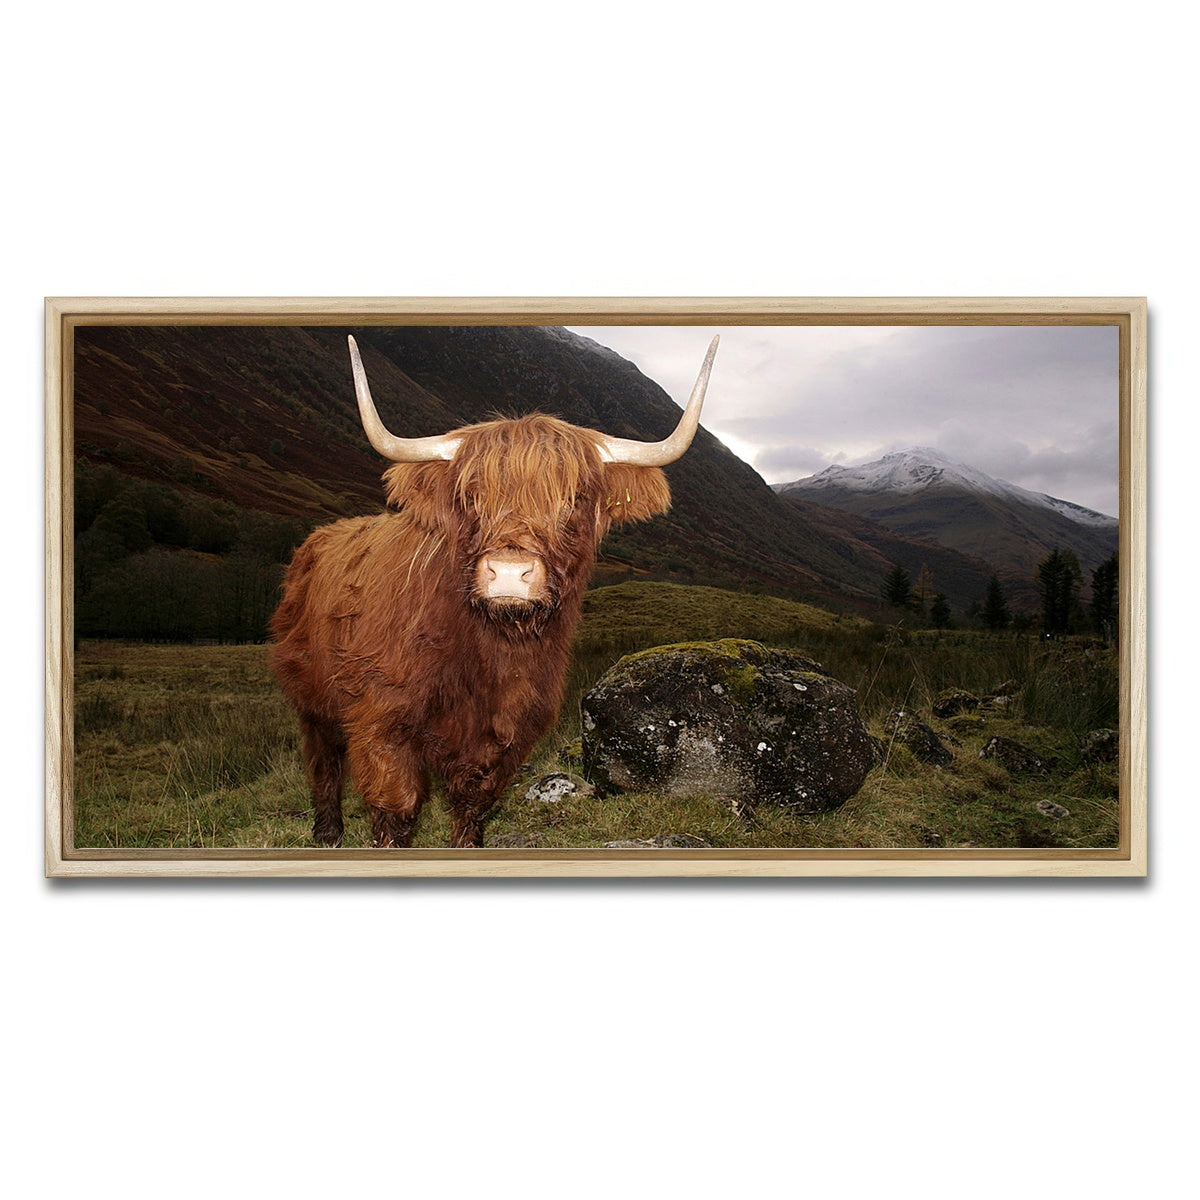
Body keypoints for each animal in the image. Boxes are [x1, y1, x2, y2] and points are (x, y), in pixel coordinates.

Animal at [270, 333, 718, 848]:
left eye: (573, 499)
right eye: (470, 497)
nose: (508, 572)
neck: (490, 652)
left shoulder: (508, 732)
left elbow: (473, 804)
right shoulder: (380, 721)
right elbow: (396, 810)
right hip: (311, 695)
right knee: (323, 760)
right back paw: (328, 832)